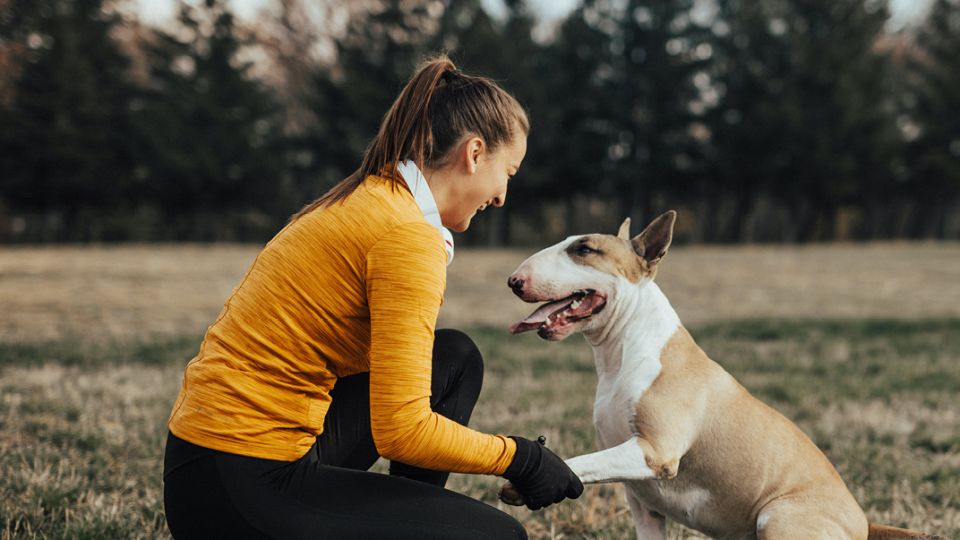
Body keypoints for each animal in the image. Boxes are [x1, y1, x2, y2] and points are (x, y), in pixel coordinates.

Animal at [498, 212, 940, 540]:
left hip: (779, 518)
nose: (514, 281)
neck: (623, 350)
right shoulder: (641, 499)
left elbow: (579, 462)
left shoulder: (654, 451)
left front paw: (529, 479)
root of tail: (864, 523)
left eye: (585, 249)